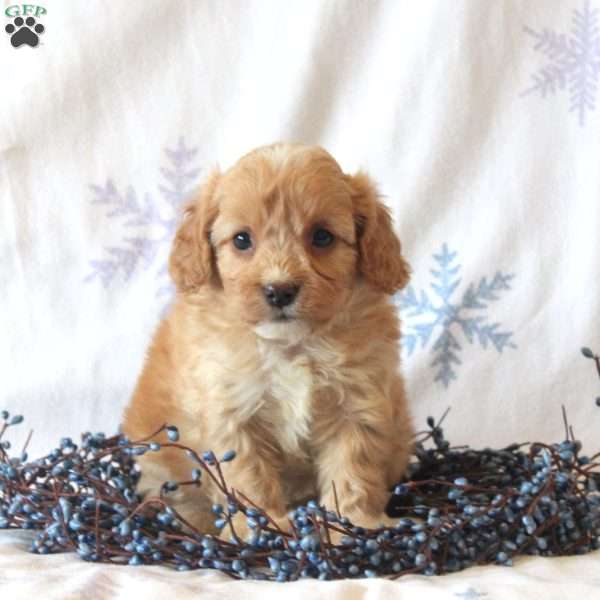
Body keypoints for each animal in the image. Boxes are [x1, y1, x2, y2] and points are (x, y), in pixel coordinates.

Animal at [122, 144, 412, 540]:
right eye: (242, 240)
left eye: (322, 237)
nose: (280, 290)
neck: (290, 346)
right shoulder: (233, 411)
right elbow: (248, 475)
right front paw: (261, 528)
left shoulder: (357, 404)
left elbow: (353, 469)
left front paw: (353, 525)